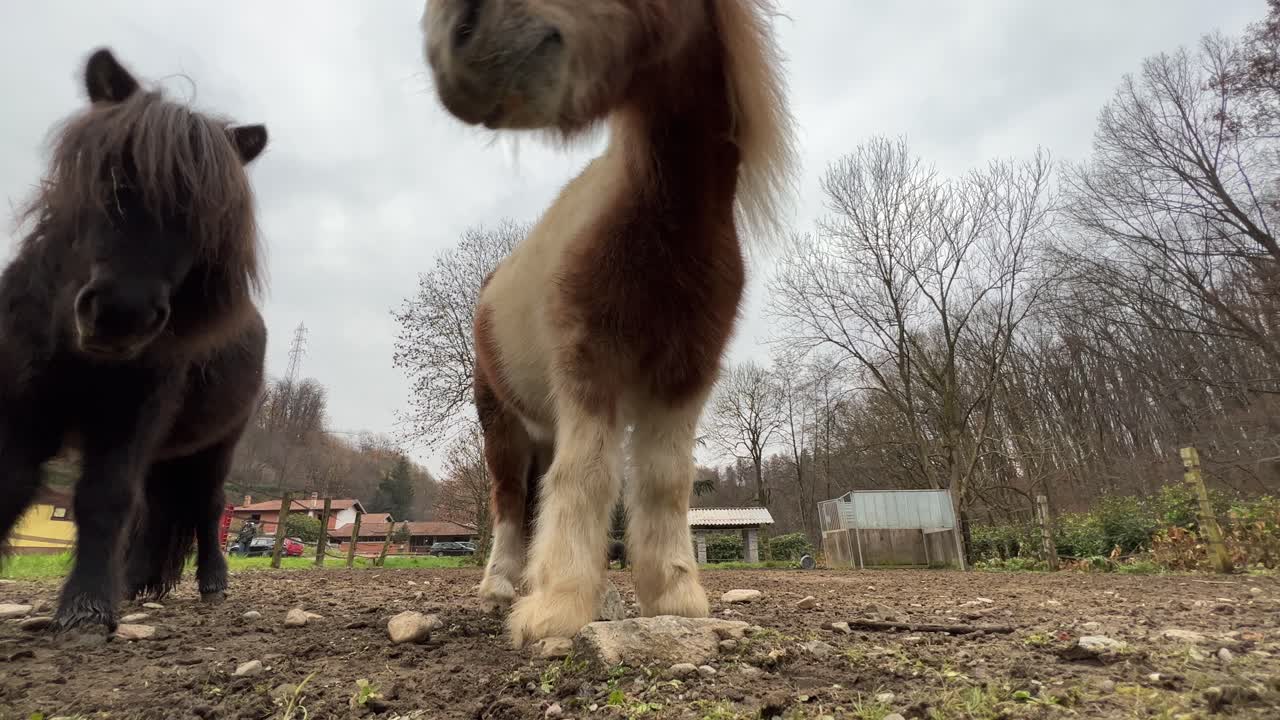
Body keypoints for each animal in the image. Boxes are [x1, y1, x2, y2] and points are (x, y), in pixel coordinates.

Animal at [0, 48, 270, 633]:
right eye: (113, 178)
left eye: (207, 219)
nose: (121, 314)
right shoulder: (21, 404)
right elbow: (9, 483)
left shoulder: (130, 413)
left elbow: (106, 497)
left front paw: (87, 609)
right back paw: (140, 581)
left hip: (217, 443)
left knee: (206, 506)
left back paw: (210, 582)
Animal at [420, 0, 797, 646]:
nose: (453, 41)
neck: (664, 221)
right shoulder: (590, 365)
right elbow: (588, 476)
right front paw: (558, 606)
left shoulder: (685, 375)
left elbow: (664, 482)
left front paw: (674, 596)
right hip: (500, 420)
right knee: (508, 497)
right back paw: (501, 587)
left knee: (533, 497)